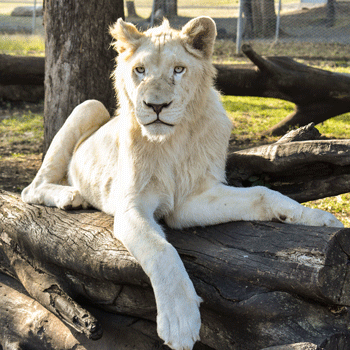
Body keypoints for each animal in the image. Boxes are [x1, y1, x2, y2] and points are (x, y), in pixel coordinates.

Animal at [22, 16, 344, 350]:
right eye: (140, 70)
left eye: (178, 69)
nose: (156, 106)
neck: (171, 141)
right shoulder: (131, 207)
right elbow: (161, 251)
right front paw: (179, 321)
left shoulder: (190, 201)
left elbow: (261, 194)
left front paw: (318, 218)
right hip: (90, 105)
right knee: (30, 189)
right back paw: (71, 196)